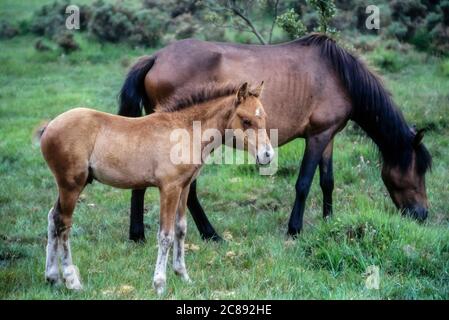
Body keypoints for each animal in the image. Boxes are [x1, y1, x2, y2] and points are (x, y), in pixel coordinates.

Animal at [40, 82, 272, 296]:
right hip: (71, 184)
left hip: (69, 185)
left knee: (53, 217)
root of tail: (49, 127)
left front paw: (183, 276)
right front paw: (160, 284)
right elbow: (165, 235)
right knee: (64, 224)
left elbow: (180, 230)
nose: (267, 155)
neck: (185, 130)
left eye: (264, 117)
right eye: (246, 120)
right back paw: (72, 281)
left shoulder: (183, 187)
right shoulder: (168, 188)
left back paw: (52, 278)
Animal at [118, 33, 430, 242]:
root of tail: (156, 58)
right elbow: (304, 183)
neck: (339, 75)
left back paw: (139, 234)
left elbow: (327, 181)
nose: (422, 214)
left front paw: (329, 220)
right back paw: (208, 234)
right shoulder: (317, 137)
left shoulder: (328, 136)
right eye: (419, 170)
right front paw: (294, 229)